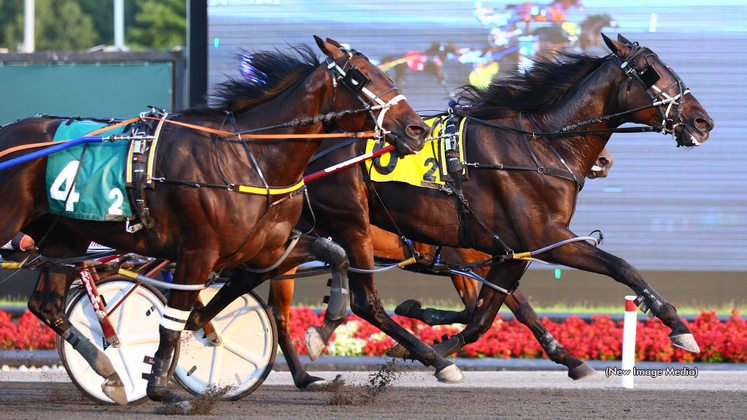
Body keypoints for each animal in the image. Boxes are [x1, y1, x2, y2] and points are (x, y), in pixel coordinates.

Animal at [0, 37, 430, 406]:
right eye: (360, 77)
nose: (418, 128)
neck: (247, 158)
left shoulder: (266, 247)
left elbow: (335, 254)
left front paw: (322, 328)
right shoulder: (197, 253)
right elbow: (171, 321)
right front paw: (162, 388)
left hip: (62, 237)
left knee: (47, 305)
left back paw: (109, 371)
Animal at [187, 33, 712, 384]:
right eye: (650, 73)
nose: (702, 121)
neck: (537, 147)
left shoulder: (508, 251)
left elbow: (487, 316)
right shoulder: (543, 239)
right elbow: (622, 267)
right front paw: (680, 329)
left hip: (291, 235)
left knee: (246, 282)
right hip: (348, 222)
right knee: (357, 302)